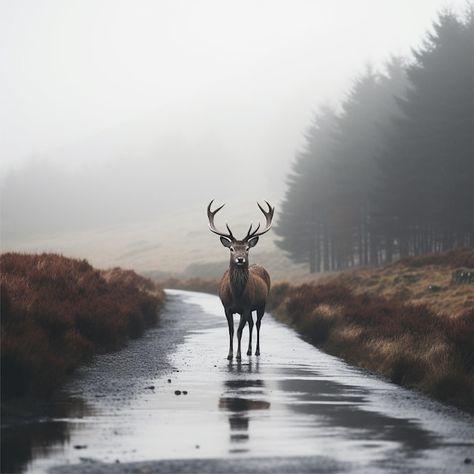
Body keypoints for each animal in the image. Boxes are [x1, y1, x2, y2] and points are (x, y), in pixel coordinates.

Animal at [206, 200, 274, 360]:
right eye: (231, 248)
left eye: (247, 248)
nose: (240, 259)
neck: (236, 295)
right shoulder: (227, 308)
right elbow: (231, 331)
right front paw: (229, 354)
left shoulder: (246, 307)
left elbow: (239, 331)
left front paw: (237, 355)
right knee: (251, 323)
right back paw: (248, 350)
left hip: (262, 304)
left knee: (257, 323)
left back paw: (256, 351)